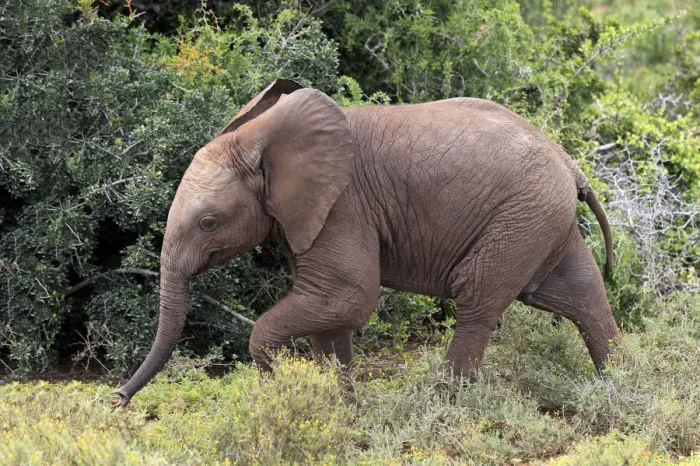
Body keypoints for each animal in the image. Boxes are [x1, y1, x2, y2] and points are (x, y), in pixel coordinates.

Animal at [113, 78, 620, 406]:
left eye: (208, 223)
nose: (116, 399)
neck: (263, 141)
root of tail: (570, 163)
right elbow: (331, 315)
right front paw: (340, 407)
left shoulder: (343, 206)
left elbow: (348, 297)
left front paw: (282, 386)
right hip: (540, 219)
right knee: (581, 294)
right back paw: (622, 388)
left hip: (521, 217)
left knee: (477, 299)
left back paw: (438, 406)